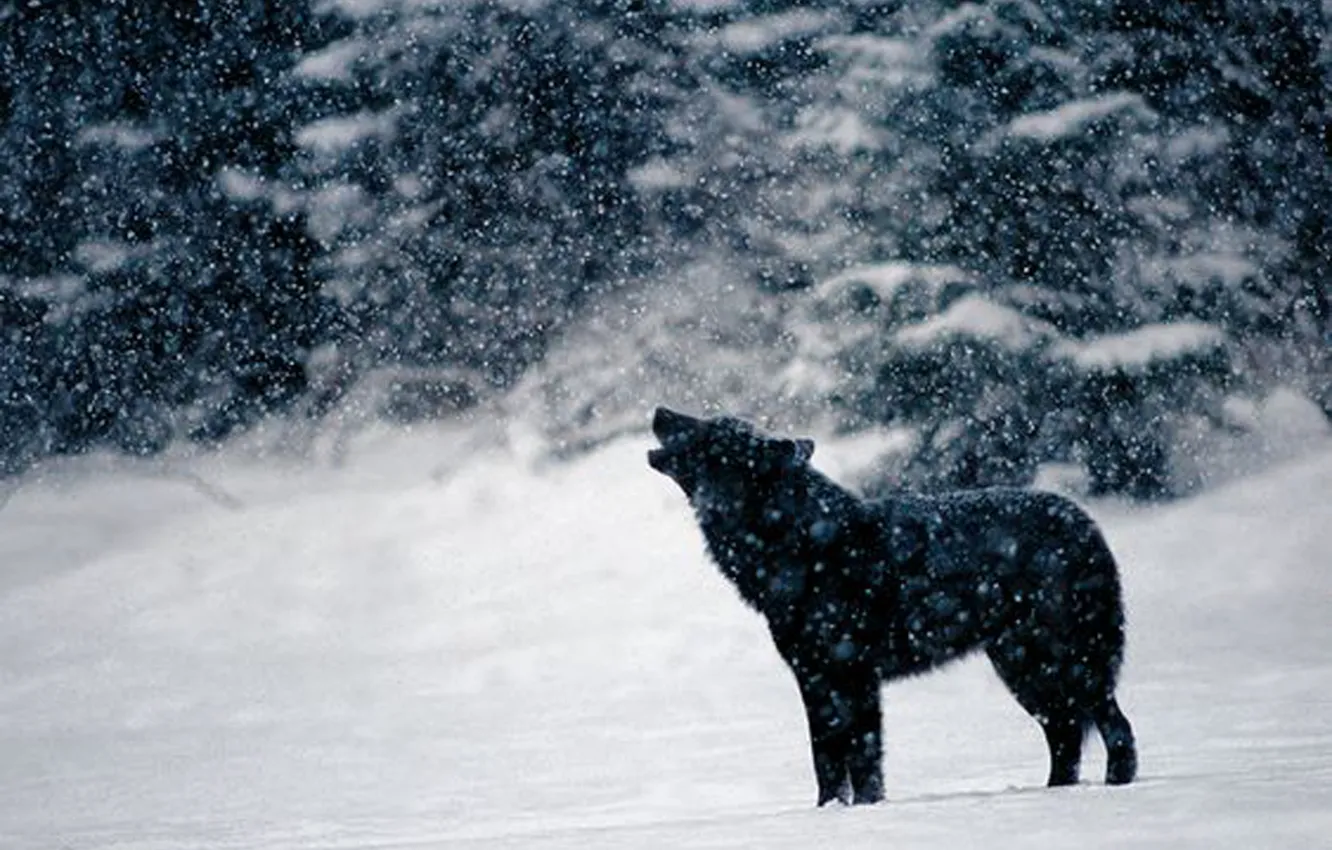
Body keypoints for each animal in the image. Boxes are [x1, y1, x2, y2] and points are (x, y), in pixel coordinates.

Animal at [647, 407, 1137, 806]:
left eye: (711, 430)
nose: (660, 410)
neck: (799, 546)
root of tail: (1085, 522)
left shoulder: (854, 673)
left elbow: (861, 756)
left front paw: (865, 810)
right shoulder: (815, 677)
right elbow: (827, 758)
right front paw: (830, 811)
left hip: (1064, 665)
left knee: (1114, 728)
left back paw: (1114, 788)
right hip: (1023, 670)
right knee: (1066, 735)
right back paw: (1055, 793)